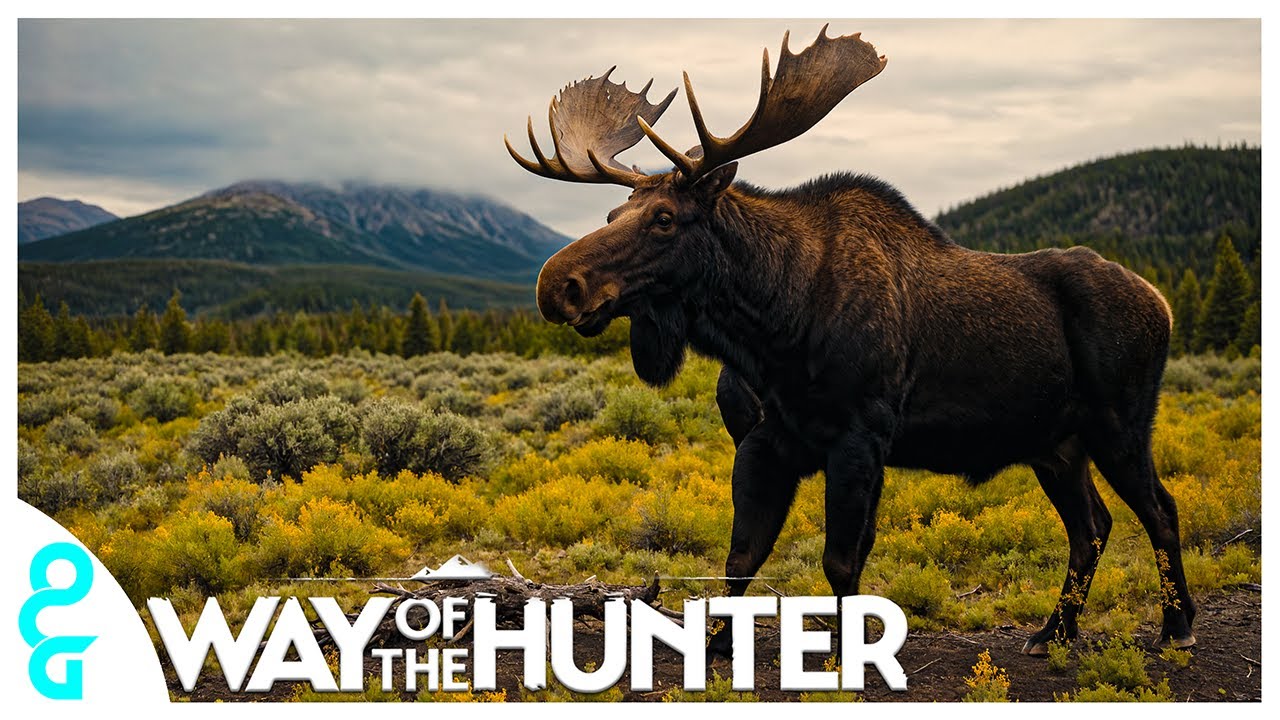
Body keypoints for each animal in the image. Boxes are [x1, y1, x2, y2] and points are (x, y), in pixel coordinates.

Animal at [504, 26, 1195, 659]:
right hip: (1054, 443)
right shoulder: (765, 440)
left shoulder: (861, 435)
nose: (556, 285)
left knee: (1159, 510)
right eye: (611, 215)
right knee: (1093, 526)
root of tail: (1162, 302)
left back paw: (1175, 627)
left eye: (665, 218)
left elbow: (841, 561)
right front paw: (718, 647)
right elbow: (742, 555)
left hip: (1120, 422)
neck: (773, 327)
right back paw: (1055, 632)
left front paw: (846, 652)